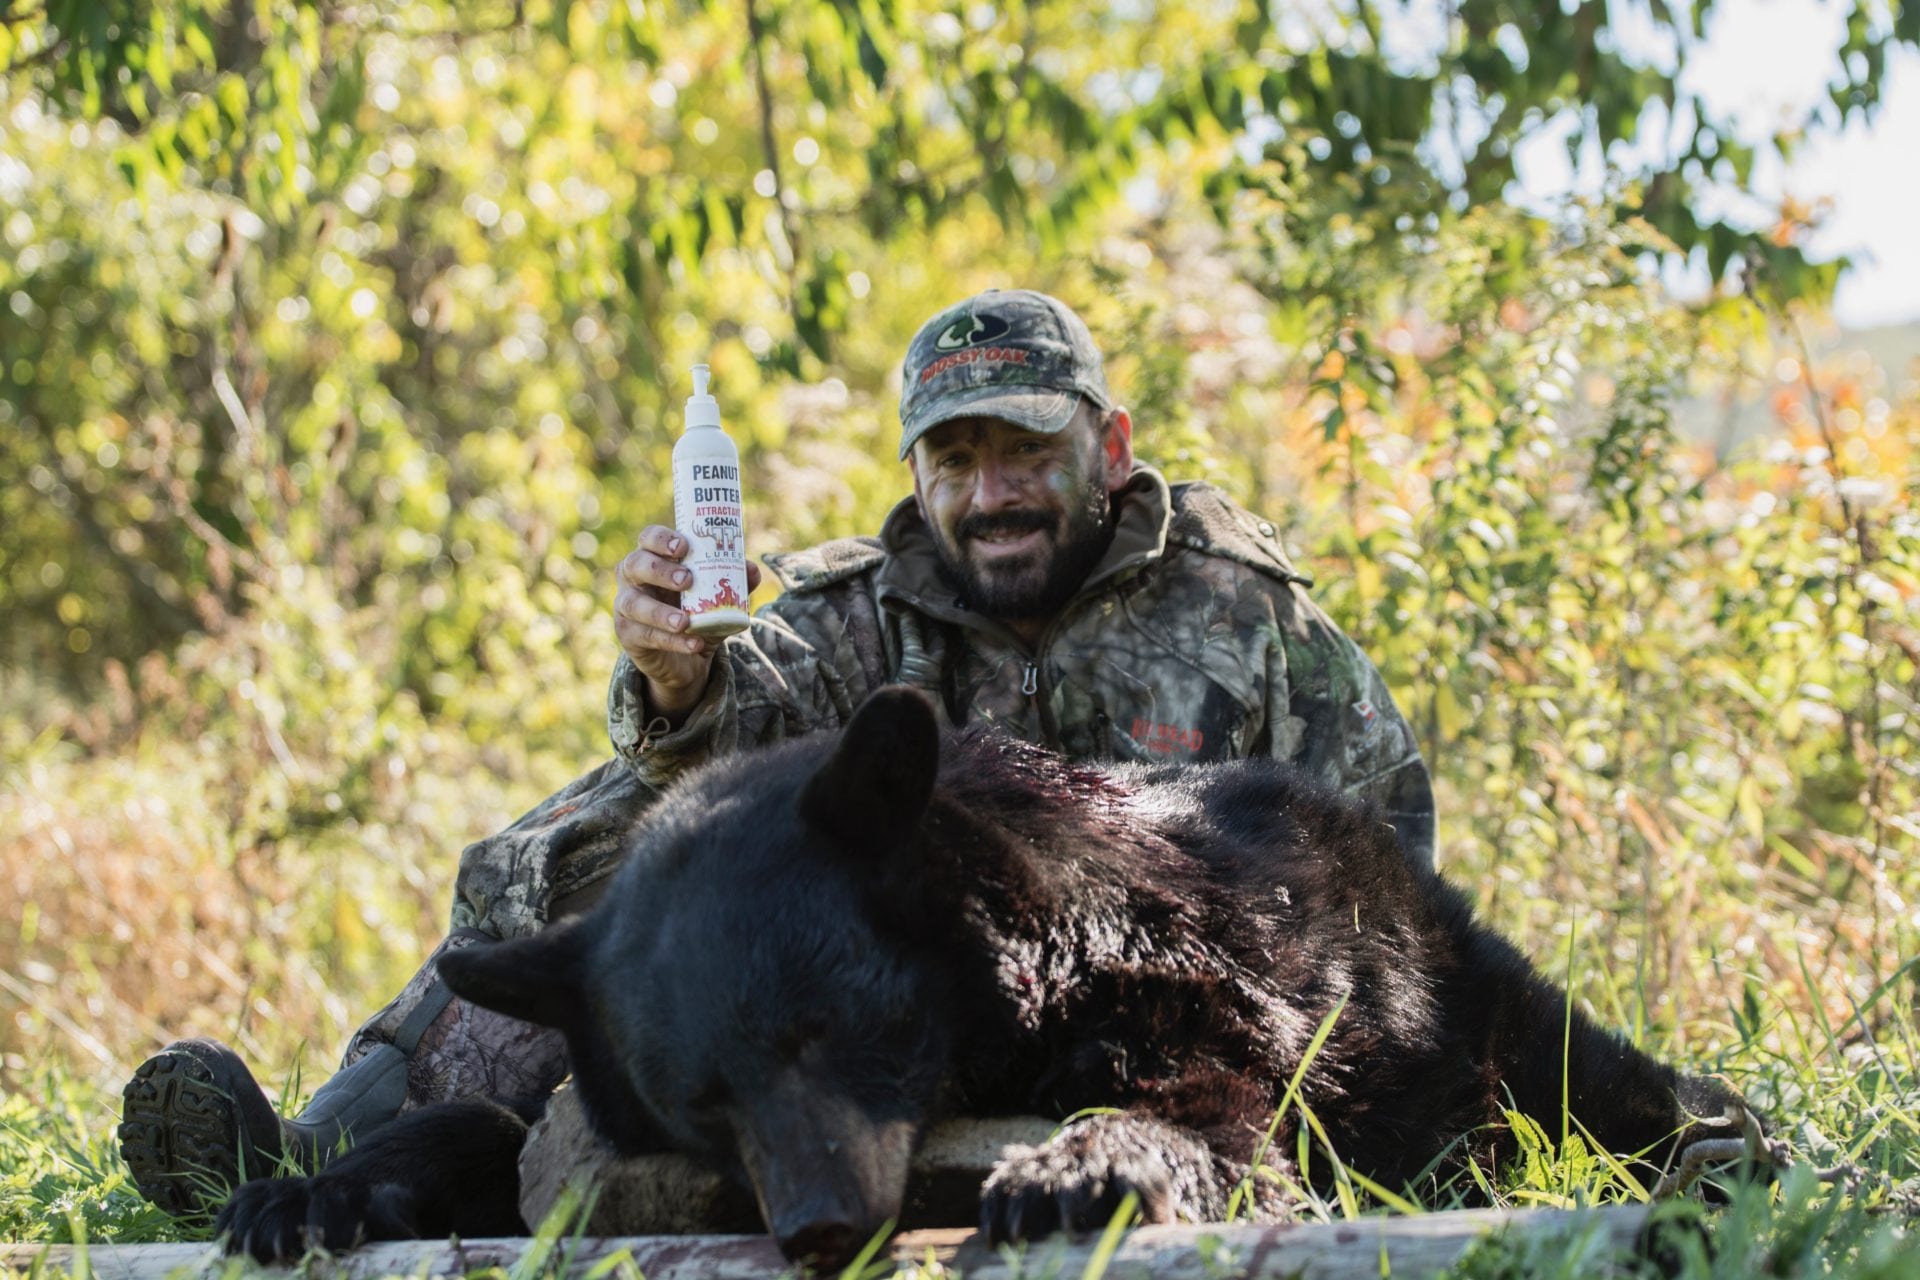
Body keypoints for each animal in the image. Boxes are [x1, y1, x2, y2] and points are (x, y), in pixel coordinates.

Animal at [217, 687, 1751, 1266]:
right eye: (703, 1102)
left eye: (827, 1027)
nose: (822, 1223)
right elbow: (505, 1128)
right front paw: (306, 1190)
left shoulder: (1198, 976)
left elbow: (1219, 1104)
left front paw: (1076, 1167)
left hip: (1459, 1002)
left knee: (1590, 1078)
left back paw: (1720, 1140)